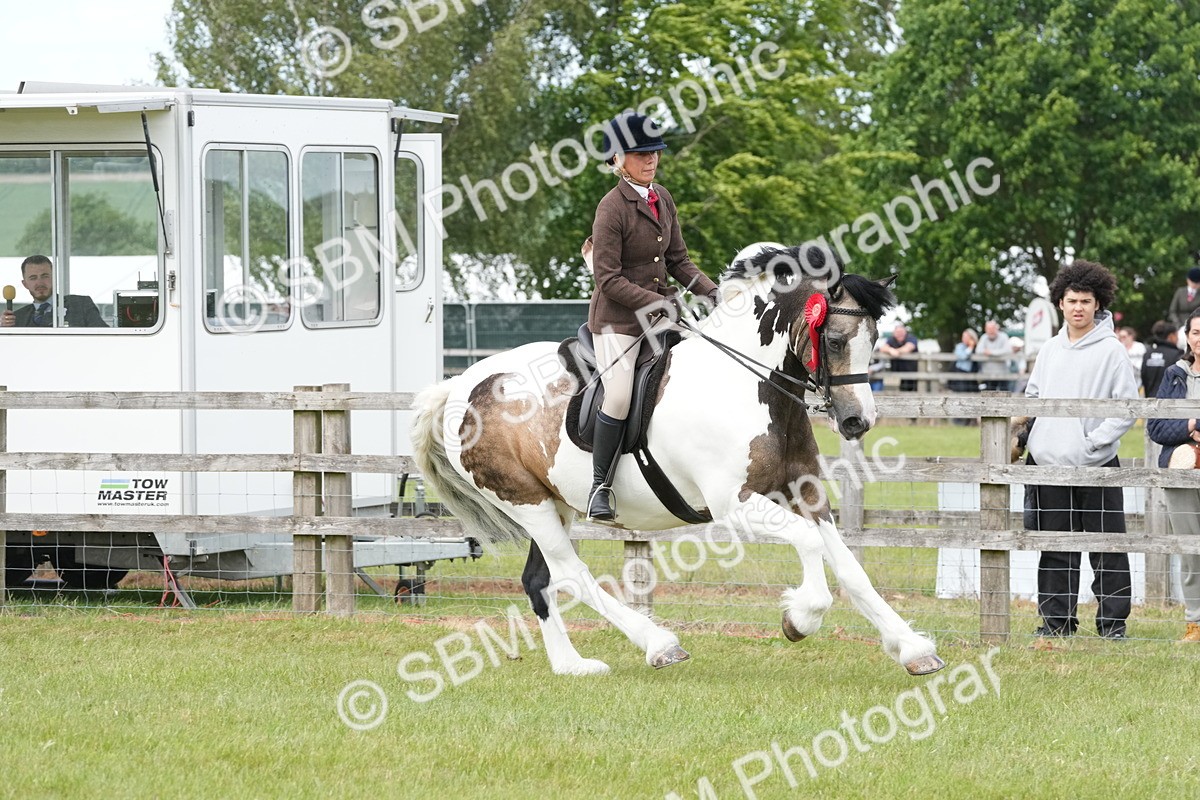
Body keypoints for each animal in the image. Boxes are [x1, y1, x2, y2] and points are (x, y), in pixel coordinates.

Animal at [411, 242, 944, 677]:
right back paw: (658, 643)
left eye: (875, 338)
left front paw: (913, 649)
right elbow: (809, 543)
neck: (748, 382)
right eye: (833, 340)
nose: (858, 421)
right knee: (569, 573)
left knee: (540, 579)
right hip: (525, 502)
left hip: (555, 502)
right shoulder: (734, 505)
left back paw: (572, 665)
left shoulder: (804, 489)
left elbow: (851, 568)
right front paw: (800, 617)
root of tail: (459, 386)